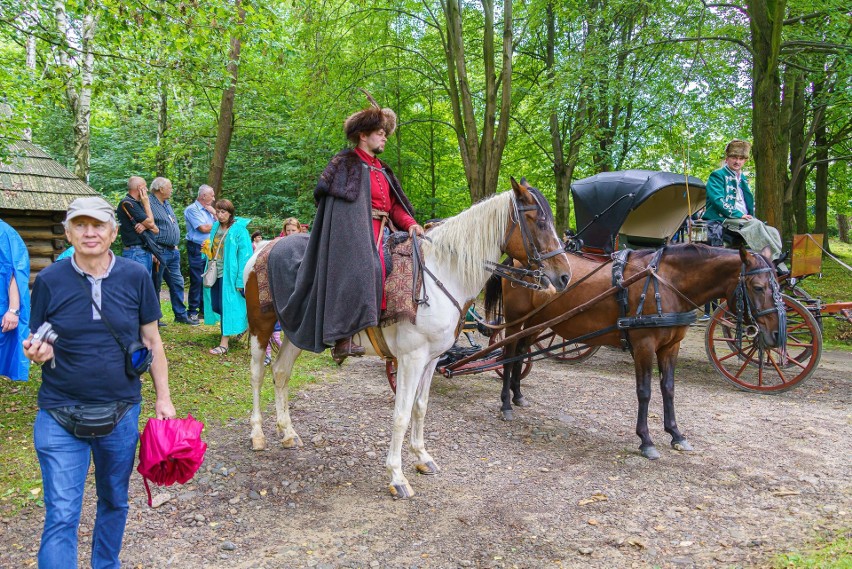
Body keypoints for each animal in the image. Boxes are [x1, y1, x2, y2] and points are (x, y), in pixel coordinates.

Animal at [243, 178, 568, 496]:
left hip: (296, 331)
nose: (564, 276)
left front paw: (422, 457)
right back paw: (257, 434)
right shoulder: (410, 359)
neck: (440, 275)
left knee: (281, 372)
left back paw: (288, 433)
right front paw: (397, 476)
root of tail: (263, 249)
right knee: (258, 374)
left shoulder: (431, 359)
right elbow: (400, 414)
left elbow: (420, 407)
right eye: (539, 221)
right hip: (262, 327)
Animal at [486, 242, 784, 460]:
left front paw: (676, 434)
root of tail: (517, 260)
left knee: (521, 351)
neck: (666, 282)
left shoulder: (671, 346)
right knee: (509, 354)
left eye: (778, 287)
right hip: (515, 320)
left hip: (537, 323)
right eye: (758, 287)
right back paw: (505, 403)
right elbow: (645, 391)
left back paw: (517, 395)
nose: (777, 335)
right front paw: (646, 440)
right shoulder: (644, 345)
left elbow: (668, 389)